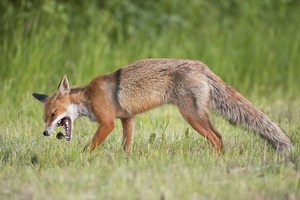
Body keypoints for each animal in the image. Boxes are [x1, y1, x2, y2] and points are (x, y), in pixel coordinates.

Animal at [32, 58, 292, 154]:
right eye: (46, 117)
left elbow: (89, 146)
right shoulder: (128, 118)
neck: (87, 97)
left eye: (54, 114)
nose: (45, 132)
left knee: (217, 137)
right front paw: (126, 162)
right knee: (218, 136)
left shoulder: (107, 123)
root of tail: (202, 66)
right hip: (196, 115)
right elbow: (127, 146)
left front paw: (82, 159)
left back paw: (217, 161)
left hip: (191, 116)